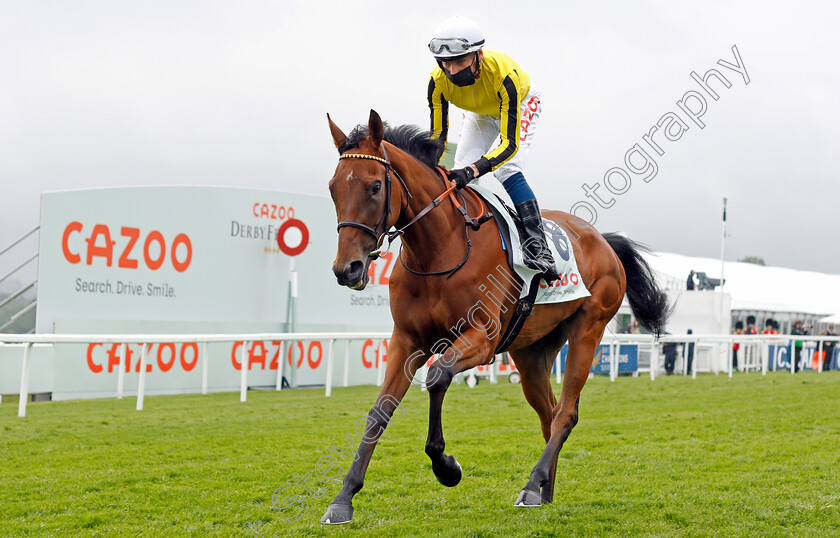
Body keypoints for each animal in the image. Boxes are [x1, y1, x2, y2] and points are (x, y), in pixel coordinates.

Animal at [324, 110, 668, 524]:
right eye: (333, 188)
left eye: (375, 186)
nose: (347, 269)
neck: (439, 248)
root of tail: (603, 240)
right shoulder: (407, 340)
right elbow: (379, 411)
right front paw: (343, 498)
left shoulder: (482, 338)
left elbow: (437, 377)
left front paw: (447, 467)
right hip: (532, 350)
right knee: (550, 412)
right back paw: (544, 490)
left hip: (590, 328)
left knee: (566, 413)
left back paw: (531, 486)